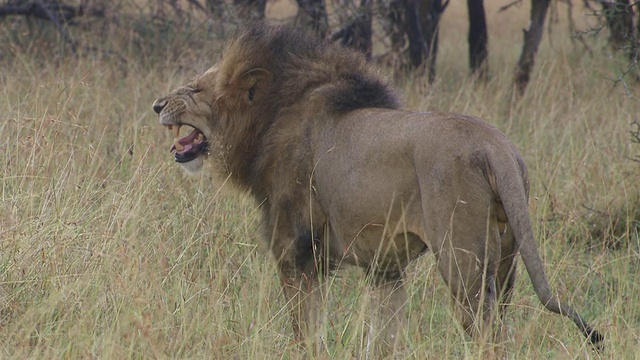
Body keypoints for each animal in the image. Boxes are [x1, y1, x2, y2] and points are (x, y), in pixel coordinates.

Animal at [152, 21, 604, 352]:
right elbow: (383, 333)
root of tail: (498, 148)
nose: (157, 105)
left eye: (195, 89)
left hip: (463, 263)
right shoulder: (386, 267)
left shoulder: (295, 250)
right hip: (507, 257)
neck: (267, 120)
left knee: (486, 335)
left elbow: (305, 329)